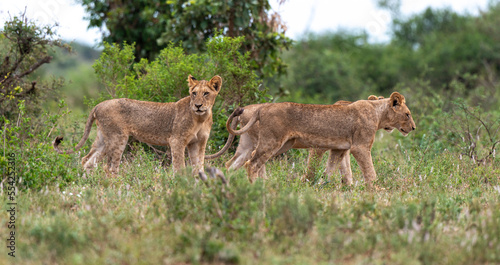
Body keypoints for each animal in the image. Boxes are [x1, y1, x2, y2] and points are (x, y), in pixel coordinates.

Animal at [226, 92, 414, 187]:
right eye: (407, 114)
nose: (413, 128)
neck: (378, 113)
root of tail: (262, 108)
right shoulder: (359, 147)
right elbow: (369, 171)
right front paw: (376, 189)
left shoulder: (339, 148)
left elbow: (336, 170)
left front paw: (328, 186)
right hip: (271, 142)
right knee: (252, 164)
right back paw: (257, 188)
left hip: (271, 144)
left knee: (235, 163)